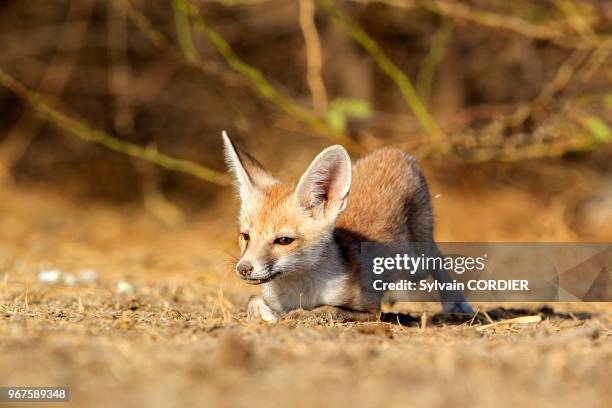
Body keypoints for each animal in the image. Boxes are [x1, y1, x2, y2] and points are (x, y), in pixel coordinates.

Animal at [222, 131, 470, 322]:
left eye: (284, 241)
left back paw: (456, 305)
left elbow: (329, 310)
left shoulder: (371, 310)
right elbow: (253, 301)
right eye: (245, 236)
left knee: (438, 261)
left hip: (418, 258)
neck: (302, 290)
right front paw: (266, 315)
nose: (243, 268)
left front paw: (302, 315)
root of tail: (393, 151)